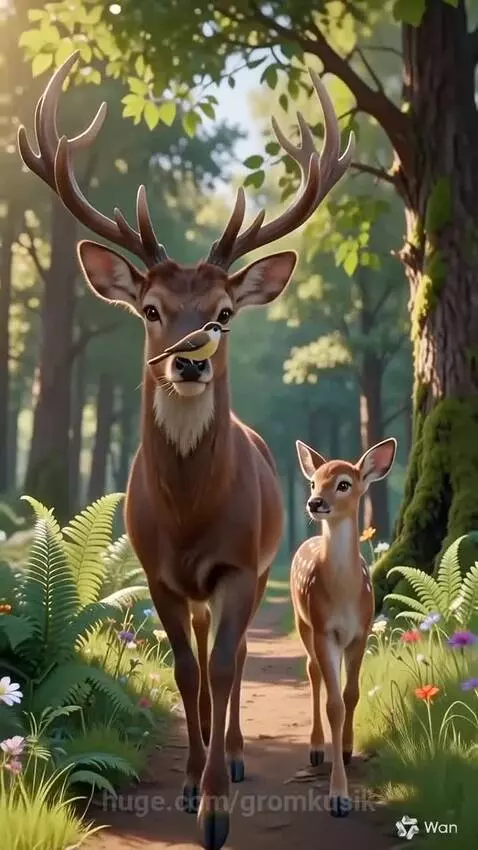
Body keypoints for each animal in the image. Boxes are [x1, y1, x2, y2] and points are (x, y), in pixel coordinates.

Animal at [18, 51, 354, 850]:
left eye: (225, 314)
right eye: (150, 308)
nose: (190, 361)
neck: (190, 517)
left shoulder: (236, 563)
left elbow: (228, 670)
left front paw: (216, 810)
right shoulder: (158, 570)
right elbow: (181, 671)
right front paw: (188, 786)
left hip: (259, 570)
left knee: (230, 660)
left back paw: (229, 758)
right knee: (198, 659)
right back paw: (201, 761)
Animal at [293, 437, 397, 818]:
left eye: (343, 484)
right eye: (313, 481)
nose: (314, 502)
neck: (343, 596)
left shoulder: (360, 632)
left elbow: (351, 694)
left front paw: (350, 750)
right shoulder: (325, 630)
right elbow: (334, 705)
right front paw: (338, 796)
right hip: (302, 620)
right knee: (312, 671)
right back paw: (314, 748)